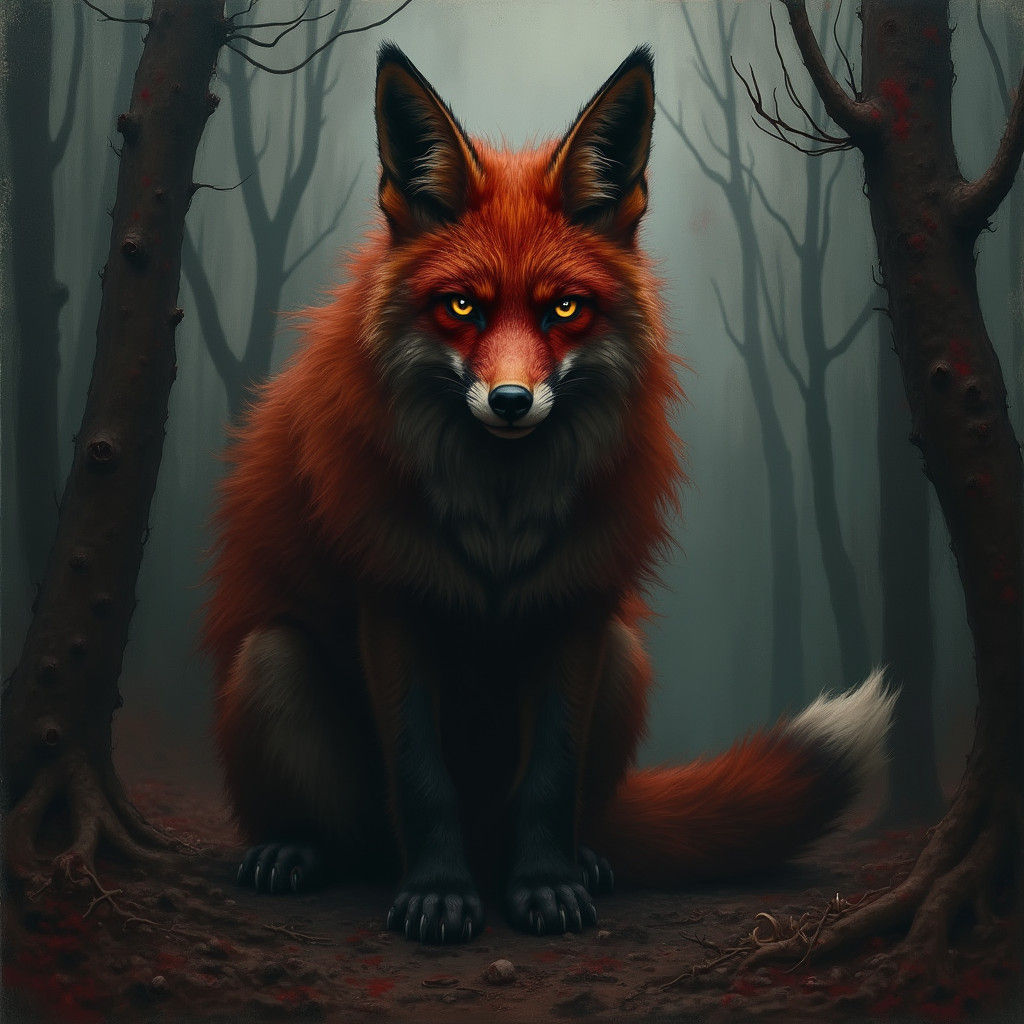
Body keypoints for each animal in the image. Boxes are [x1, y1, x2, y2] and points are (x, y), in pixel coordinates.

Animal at [203, 42, 895, 944]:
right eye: (462, 306)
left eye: (564, 308)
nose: (509, 401)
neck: (499, 512)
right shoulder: (391, 598)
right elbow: (420, 779)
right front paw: (438, 895)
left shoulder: (578, 605)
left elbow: (550, 780)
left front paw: (543, 887)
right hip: (270, 660)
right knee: (353, 832)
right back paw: (299, 850)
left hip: (625, 661)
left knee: (571, 814)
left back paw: (581, 861)